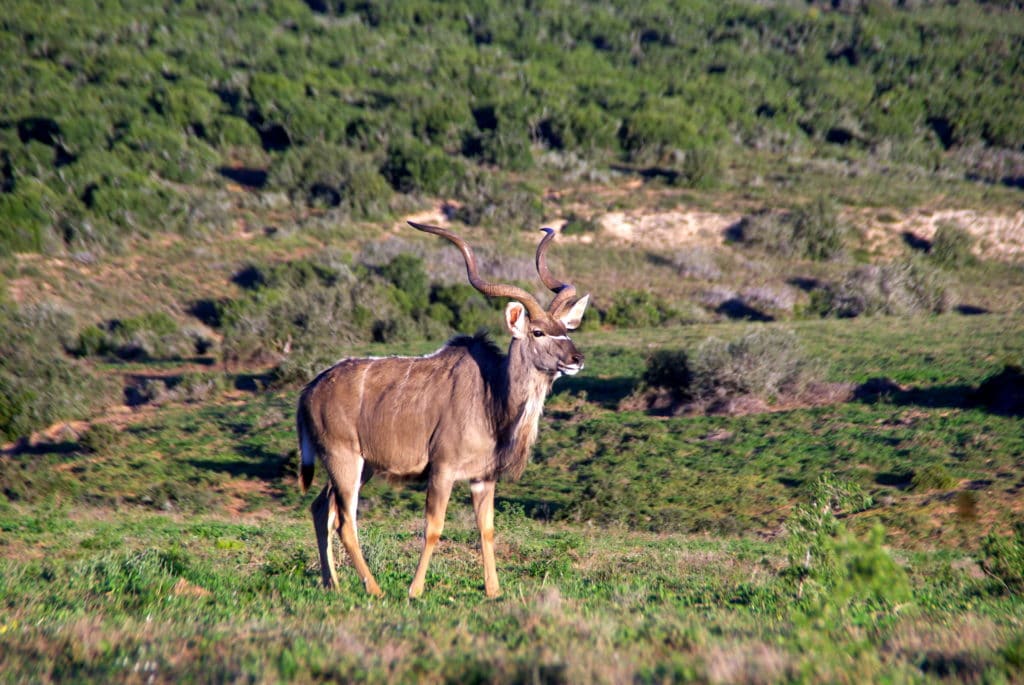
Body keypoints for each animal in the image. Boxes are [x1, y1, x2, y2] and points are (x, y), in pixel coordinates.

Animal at [294, 222, 585, 593]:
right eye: (538, 332)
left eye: (565, 329)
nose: (577, 359)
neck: (492, 396)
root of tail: (310, 390)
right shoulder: (442, 470)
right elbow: (433, 528)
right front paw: (414, 590)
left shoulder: (482, 477)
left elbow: (486, 529)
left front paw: (494, 591)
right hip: (343, 460)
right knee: (345, 521)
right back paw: (374, 589)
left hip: (360, 466)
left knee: (321, 508)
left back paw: (333, 584)